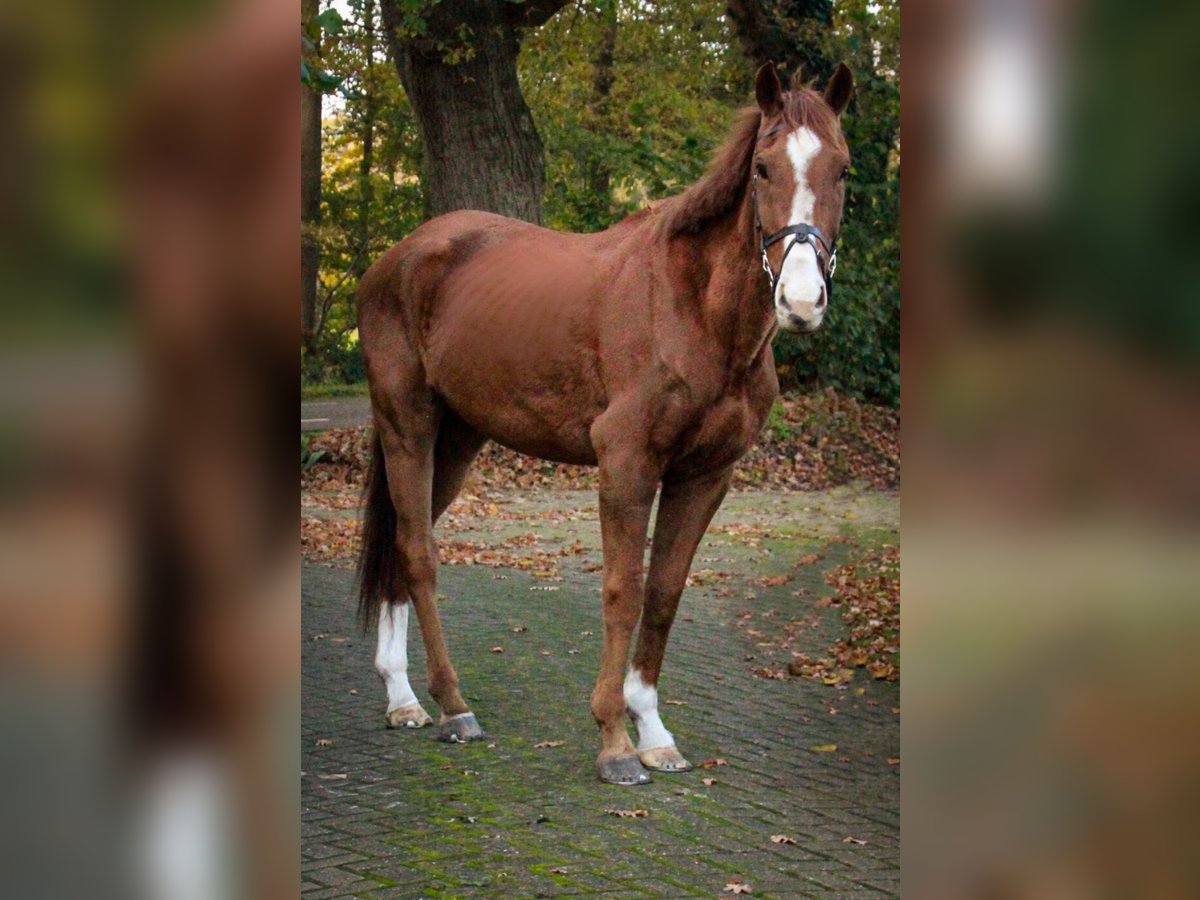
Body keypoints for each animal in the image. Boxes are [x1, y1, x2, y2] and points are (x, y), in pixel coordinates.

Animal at [355, 63, 854, 787]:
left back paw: (403, 700)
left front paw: (653, 731)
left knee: (399, 543)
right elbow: (624, 591)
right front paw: (615, 742)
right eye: (762, 168)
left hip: (456, 441)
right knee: (419, 553)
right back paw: (452, 706)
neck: (693, 311)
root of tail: (397, 259)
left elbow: (665, 593)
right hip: (408, 427)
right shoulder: (627, 465)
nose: (801, 300)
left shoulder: (705, 476)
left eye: (842, 169)